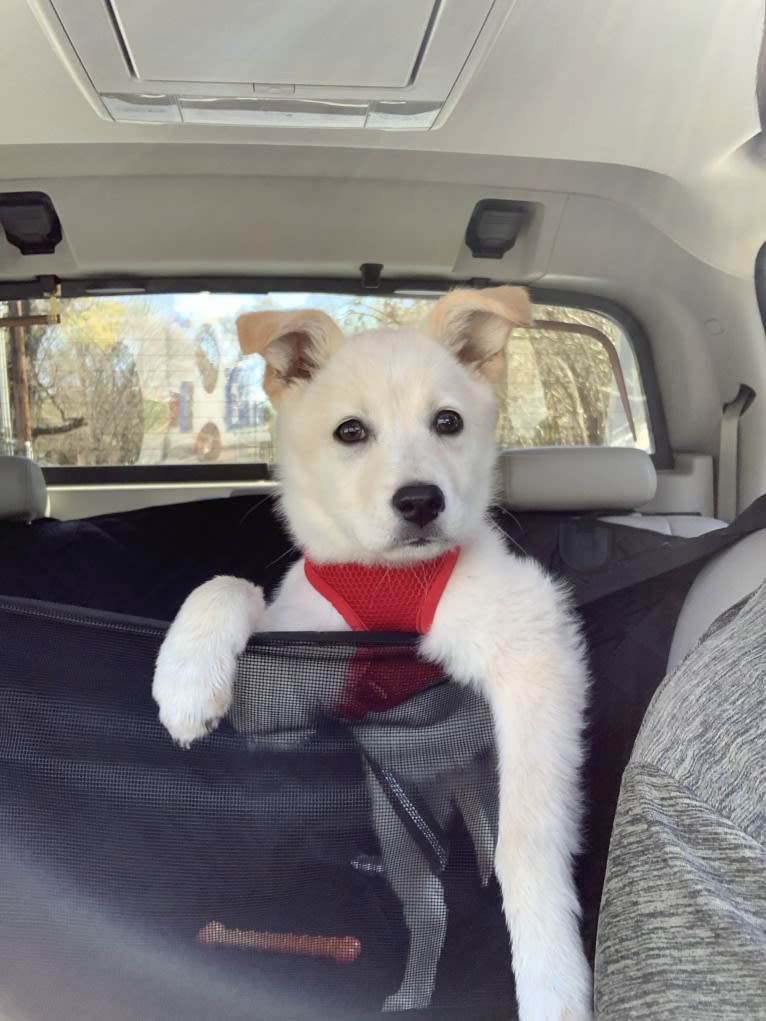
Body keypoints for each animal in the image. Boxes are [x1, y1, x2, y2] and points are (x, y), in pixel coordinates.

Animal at [151, 287, 592, 1021]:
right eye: (350, 432)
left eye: (448, 421)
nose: (420, 501)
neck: (387, 578)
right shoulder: (283, 692)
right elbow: (228, 584)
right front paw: (186, 678)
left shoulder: (537, 650)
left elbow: (527, 840)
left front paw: (551, 974)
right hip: (398, 831)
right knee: (426, 909)